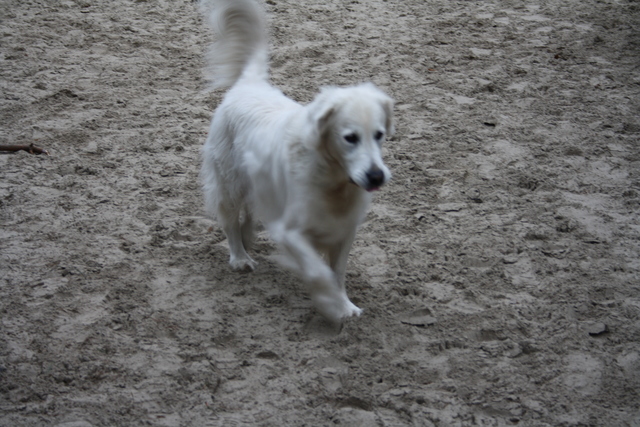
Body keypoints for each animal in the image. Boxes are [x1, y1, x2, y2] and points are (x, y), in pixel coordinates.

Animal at [200, 0, 392, 320]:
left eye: (379, 135)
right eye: (350, 137)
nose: (376, 176)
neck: (333, 182)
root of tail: (250, 84)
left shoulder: (344, 232)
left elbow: (337, 273)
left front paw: (345, 305)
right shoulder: (291, 232)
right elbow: (319, 272)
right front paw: (331, 304)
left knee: (250, 212)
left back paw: (248, 236)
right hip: (229, 182)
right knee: (229, 219)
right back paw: (240, 256)